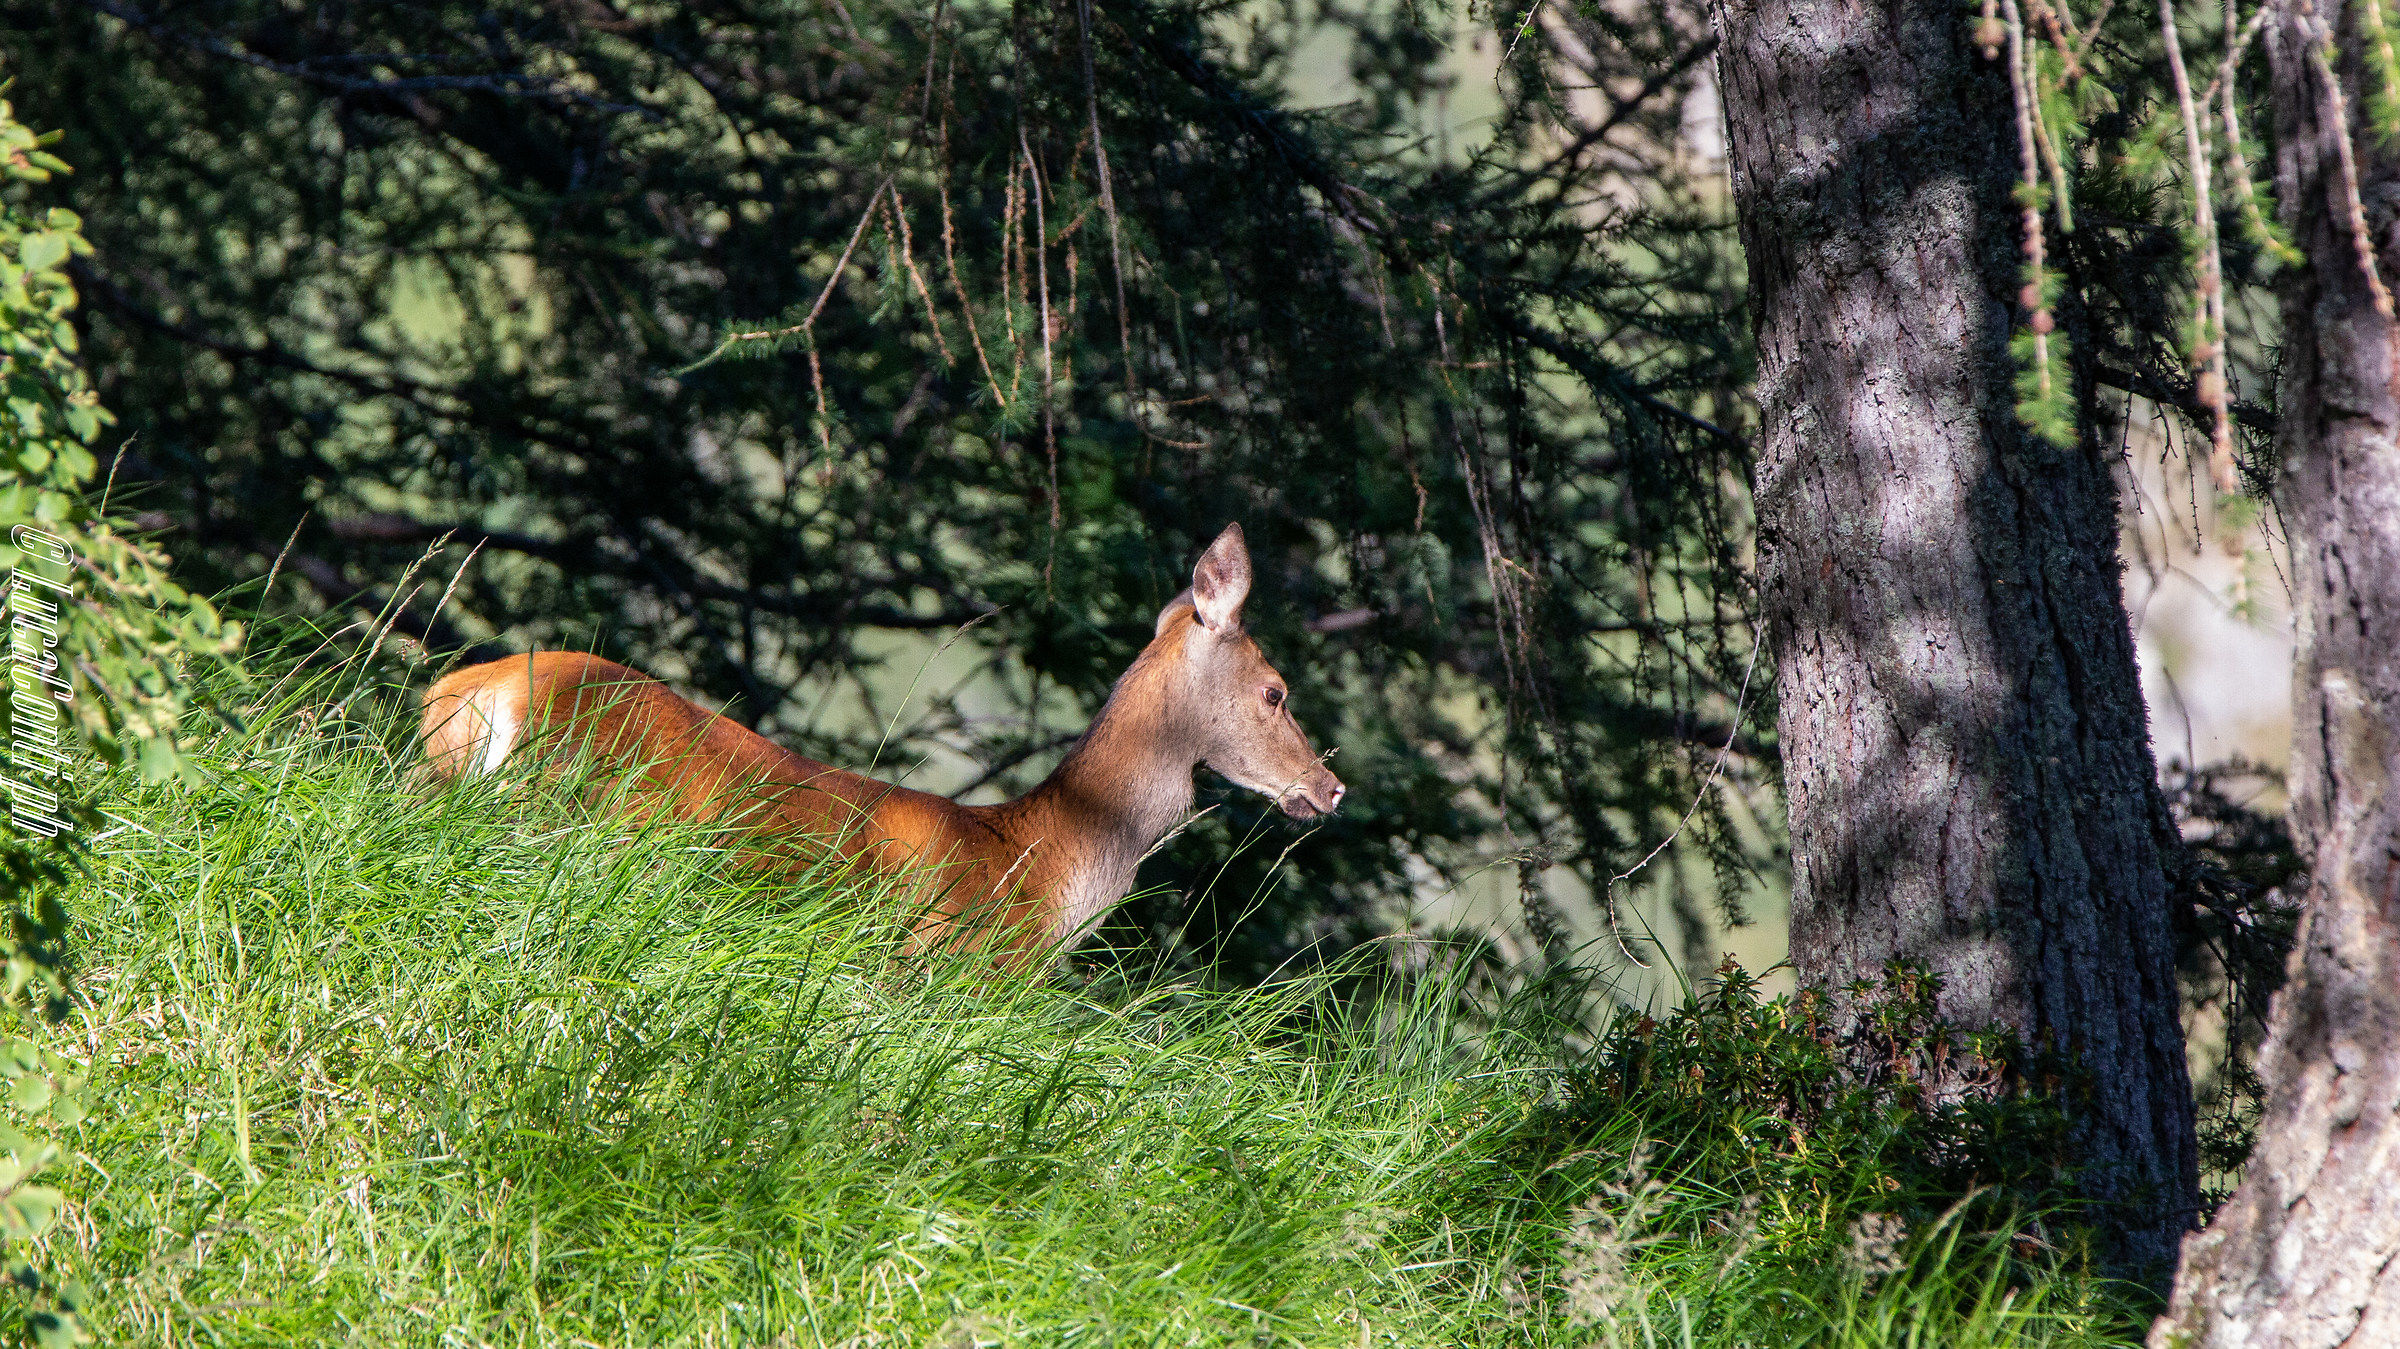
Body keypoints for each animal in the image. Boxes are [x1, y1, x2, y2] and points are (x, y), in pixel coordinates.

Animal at [416, 524, 1346, 969]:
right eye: (1276, 690)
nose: (1330, 788)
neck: (1040, 863)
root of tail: (485, 694)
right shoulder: (953, 974)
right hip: (582, 826)